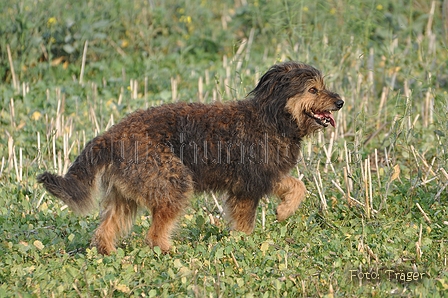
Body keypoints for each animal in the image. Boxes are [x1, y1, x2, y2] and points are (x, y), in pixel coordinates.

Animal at [37, 61, 344, 255]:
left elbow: (295, 185)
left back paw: (109, 253)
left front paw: (281, 212)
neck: (274, 117)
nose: (340, 102)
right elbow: (263, 209)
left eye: (322, 86)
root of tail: (111, 135)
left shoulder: (260, 177)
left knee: (106, 229)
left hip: (127, 194)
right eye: (313, 89)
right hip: (172, 181)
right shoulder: (251, 182)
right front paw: (267, 224)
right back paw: (170, 252)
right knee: (154, 234)